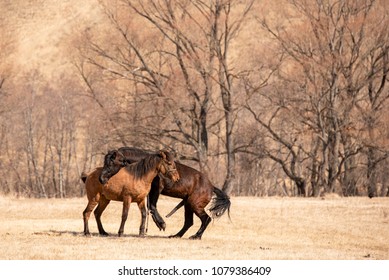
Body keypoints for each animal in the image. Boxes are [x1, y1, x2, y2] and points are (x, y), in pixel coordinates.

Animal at [100, 148, 230, 240]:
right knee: (189, 222)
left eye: (111, 163)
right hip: (188, 205)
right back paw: (176, 235)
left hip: (195, 205)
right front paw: (159, 224)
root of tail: (211, 187)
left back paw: (196, 236)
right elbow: (150, 207)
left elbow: (152, 206)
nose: (101, 179)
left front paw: (161, 223)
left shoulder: (156, 189)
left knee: (206, 219)